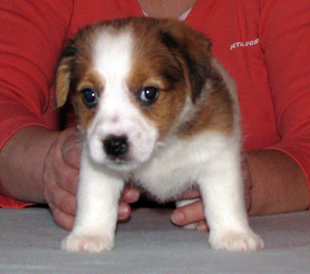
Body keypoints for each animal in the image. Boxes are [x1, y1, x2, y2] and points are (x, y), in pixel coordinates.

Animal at [55, 16, 264, 253]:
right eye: (89, 96)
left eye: (149, 93)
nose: (114, 145)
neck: (161, 148)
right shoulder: (98, 167)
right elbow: (95, 198)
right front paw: (90, 234)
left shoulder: (218, 157)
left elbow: (225, 200)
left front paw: (234, 234)